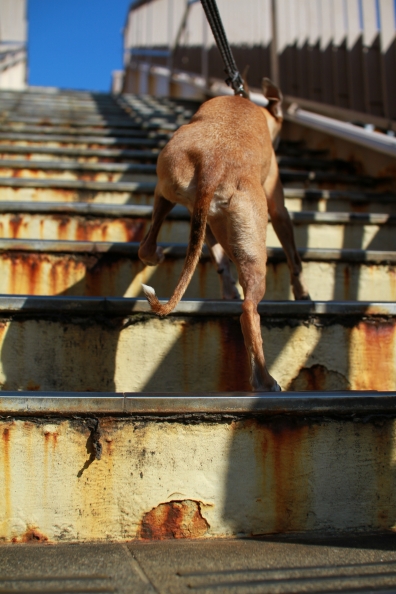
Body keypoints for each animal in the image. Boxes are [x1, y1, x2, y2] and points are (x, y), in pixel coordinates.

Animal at [138, 80, 310, 394]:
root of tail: (213, 164)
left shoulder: (209, 225)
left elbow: (220, 263)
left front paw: (227, 289)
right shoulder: (278, 207)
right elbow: (294, 258)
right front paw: (302, 293)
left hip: (169, 191)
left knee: (146, 244)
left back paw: (155, 254)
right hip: (254, 246)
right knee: (249, 310)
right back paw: (265, 380)